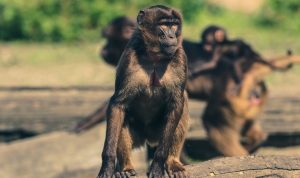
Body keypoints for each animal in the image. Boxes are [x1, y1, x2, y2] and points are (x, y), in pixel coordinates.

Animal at [97, 5, 189, 178]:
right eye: (164, 24)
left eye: (174, 24)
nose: (172, 36)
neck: (154, 57)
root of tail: (148, 138)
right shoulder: (129, 58)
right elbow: (117, 105)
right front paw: (107, 166)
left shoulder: (180, 57)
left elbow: (177, 103)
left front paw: (158, 164)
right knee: (122, 117)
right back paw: (125, 167)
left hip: (158, 132)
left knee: (182, 107)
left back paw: (172, 161)